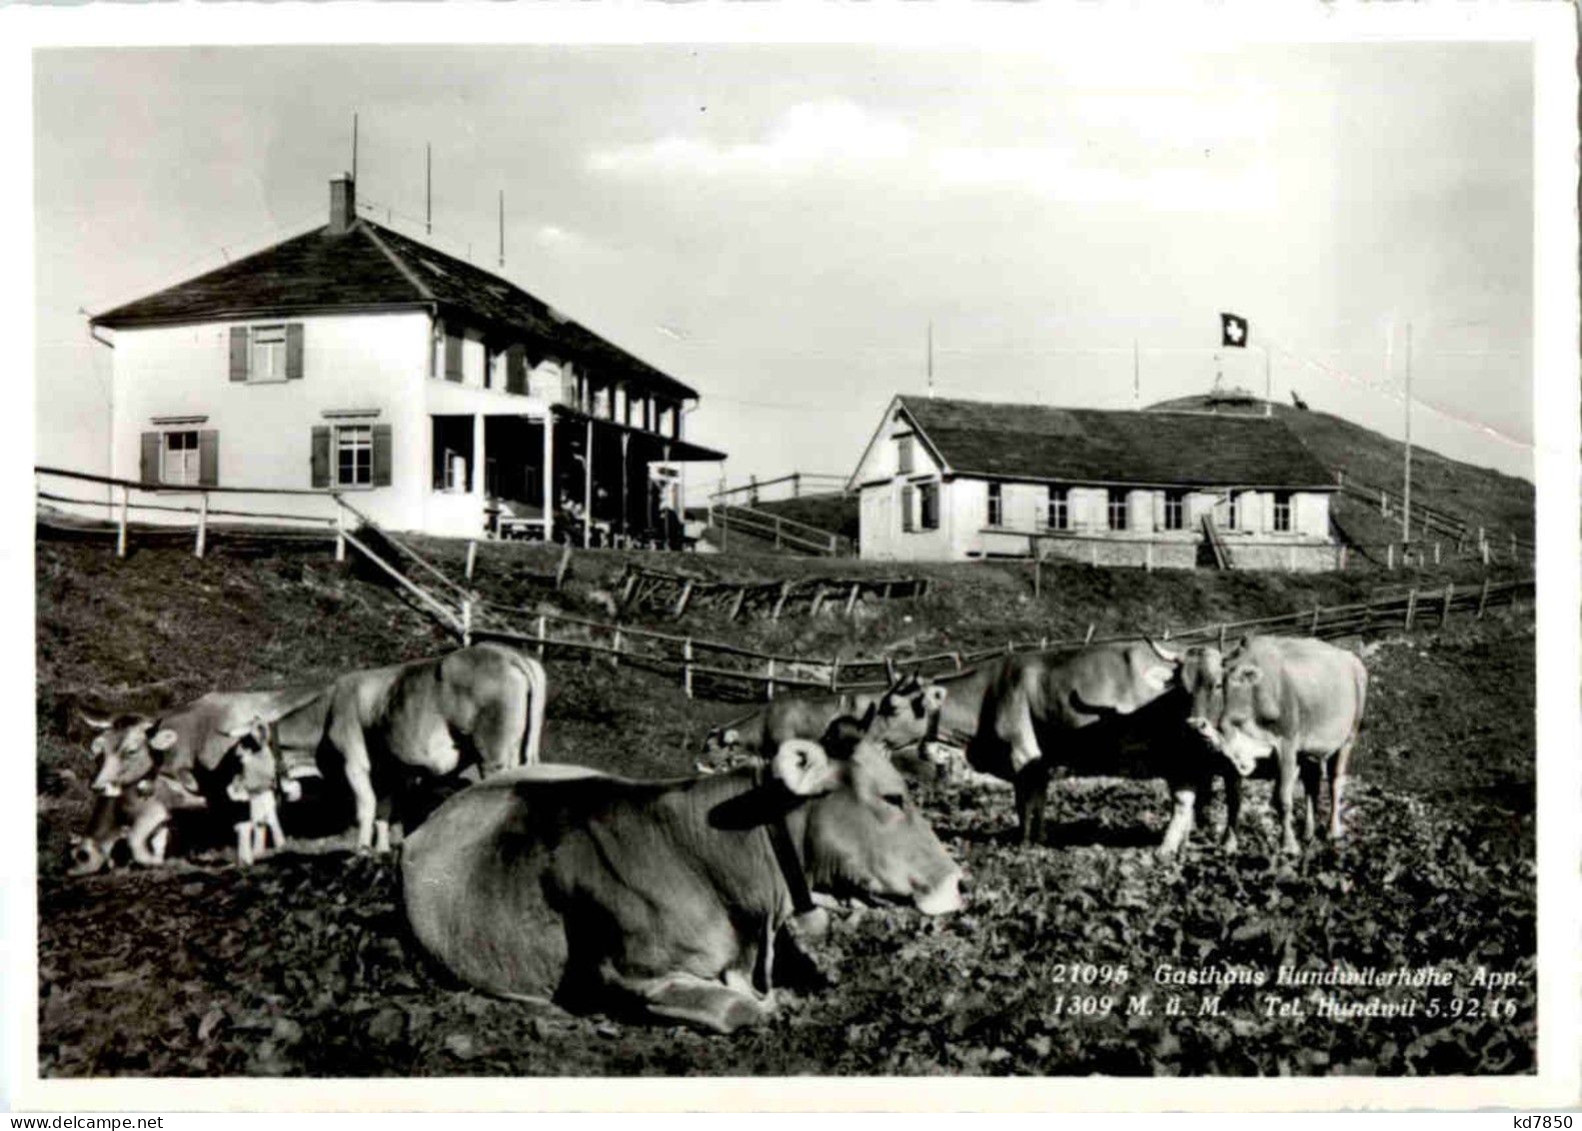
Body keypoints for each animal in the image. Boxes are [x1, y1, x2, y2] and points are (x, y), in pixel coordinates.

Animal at [1189, 635, 1373, 860]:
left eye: (1216, 685)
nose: (1195, 723)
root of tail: (1353, 660)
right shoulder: (1230, 758)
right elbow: (1233, 800)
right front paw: (1228, 843)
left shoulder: (1287, 746)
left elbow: (1282, 799)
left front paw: (1288, 845)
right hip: (1308, 749)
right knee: (1312, 784)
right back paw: (1308, 832)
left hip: (1348, 737)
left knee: (1335, 783)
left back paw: (1333, 831)